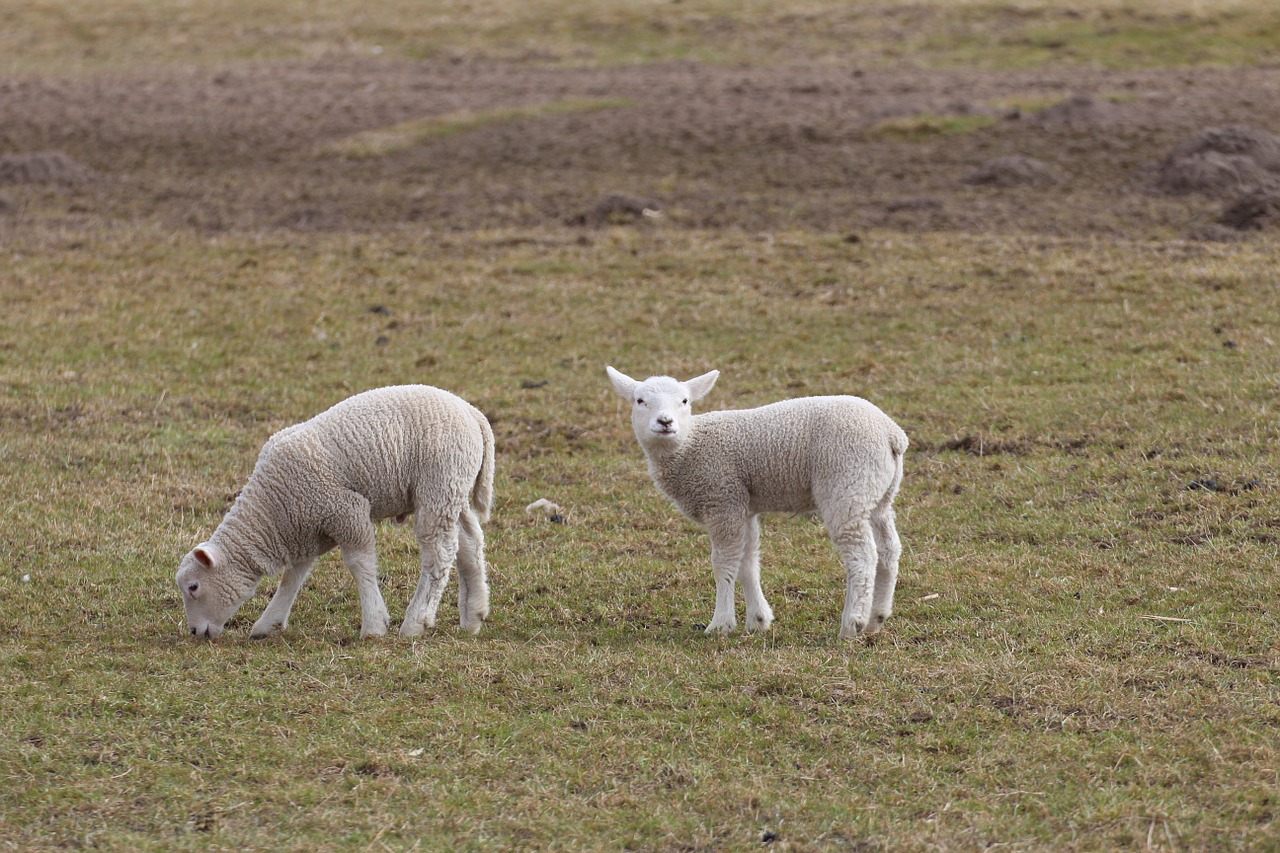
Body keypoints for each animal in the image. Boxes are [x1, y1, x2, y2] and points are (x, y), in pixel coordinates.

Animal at [177, 384, 496, 637]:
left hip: (439, 483)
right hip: (452, 491)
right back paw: (474, 615)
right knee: (469, 543)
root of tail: (473, 413)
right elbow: (293, 577)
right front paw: (268, 623)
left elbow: (359, 565)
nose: (195, 632)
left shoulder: (345, 510)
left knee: (438, 554)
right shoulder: (305, 528)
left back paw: (415, 622)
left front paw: (374, 626)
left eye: (193, 587)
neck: (271, 510)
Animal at [609, 366, 911, 637]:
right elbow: (748, 561)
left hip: (847, 485)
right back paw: (877, 617)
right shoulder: (742, 505)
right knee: (888, 549)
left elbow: (724, 563)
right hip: (877, 493)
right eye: (640, 400)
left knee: (862, 555)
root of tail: (892, 434)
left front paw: (720, 624)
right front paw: (758, 620)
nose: (665, 422)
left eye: (684, 401)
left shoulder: (722, 499)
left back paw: (852, 624)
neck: (689, 446)